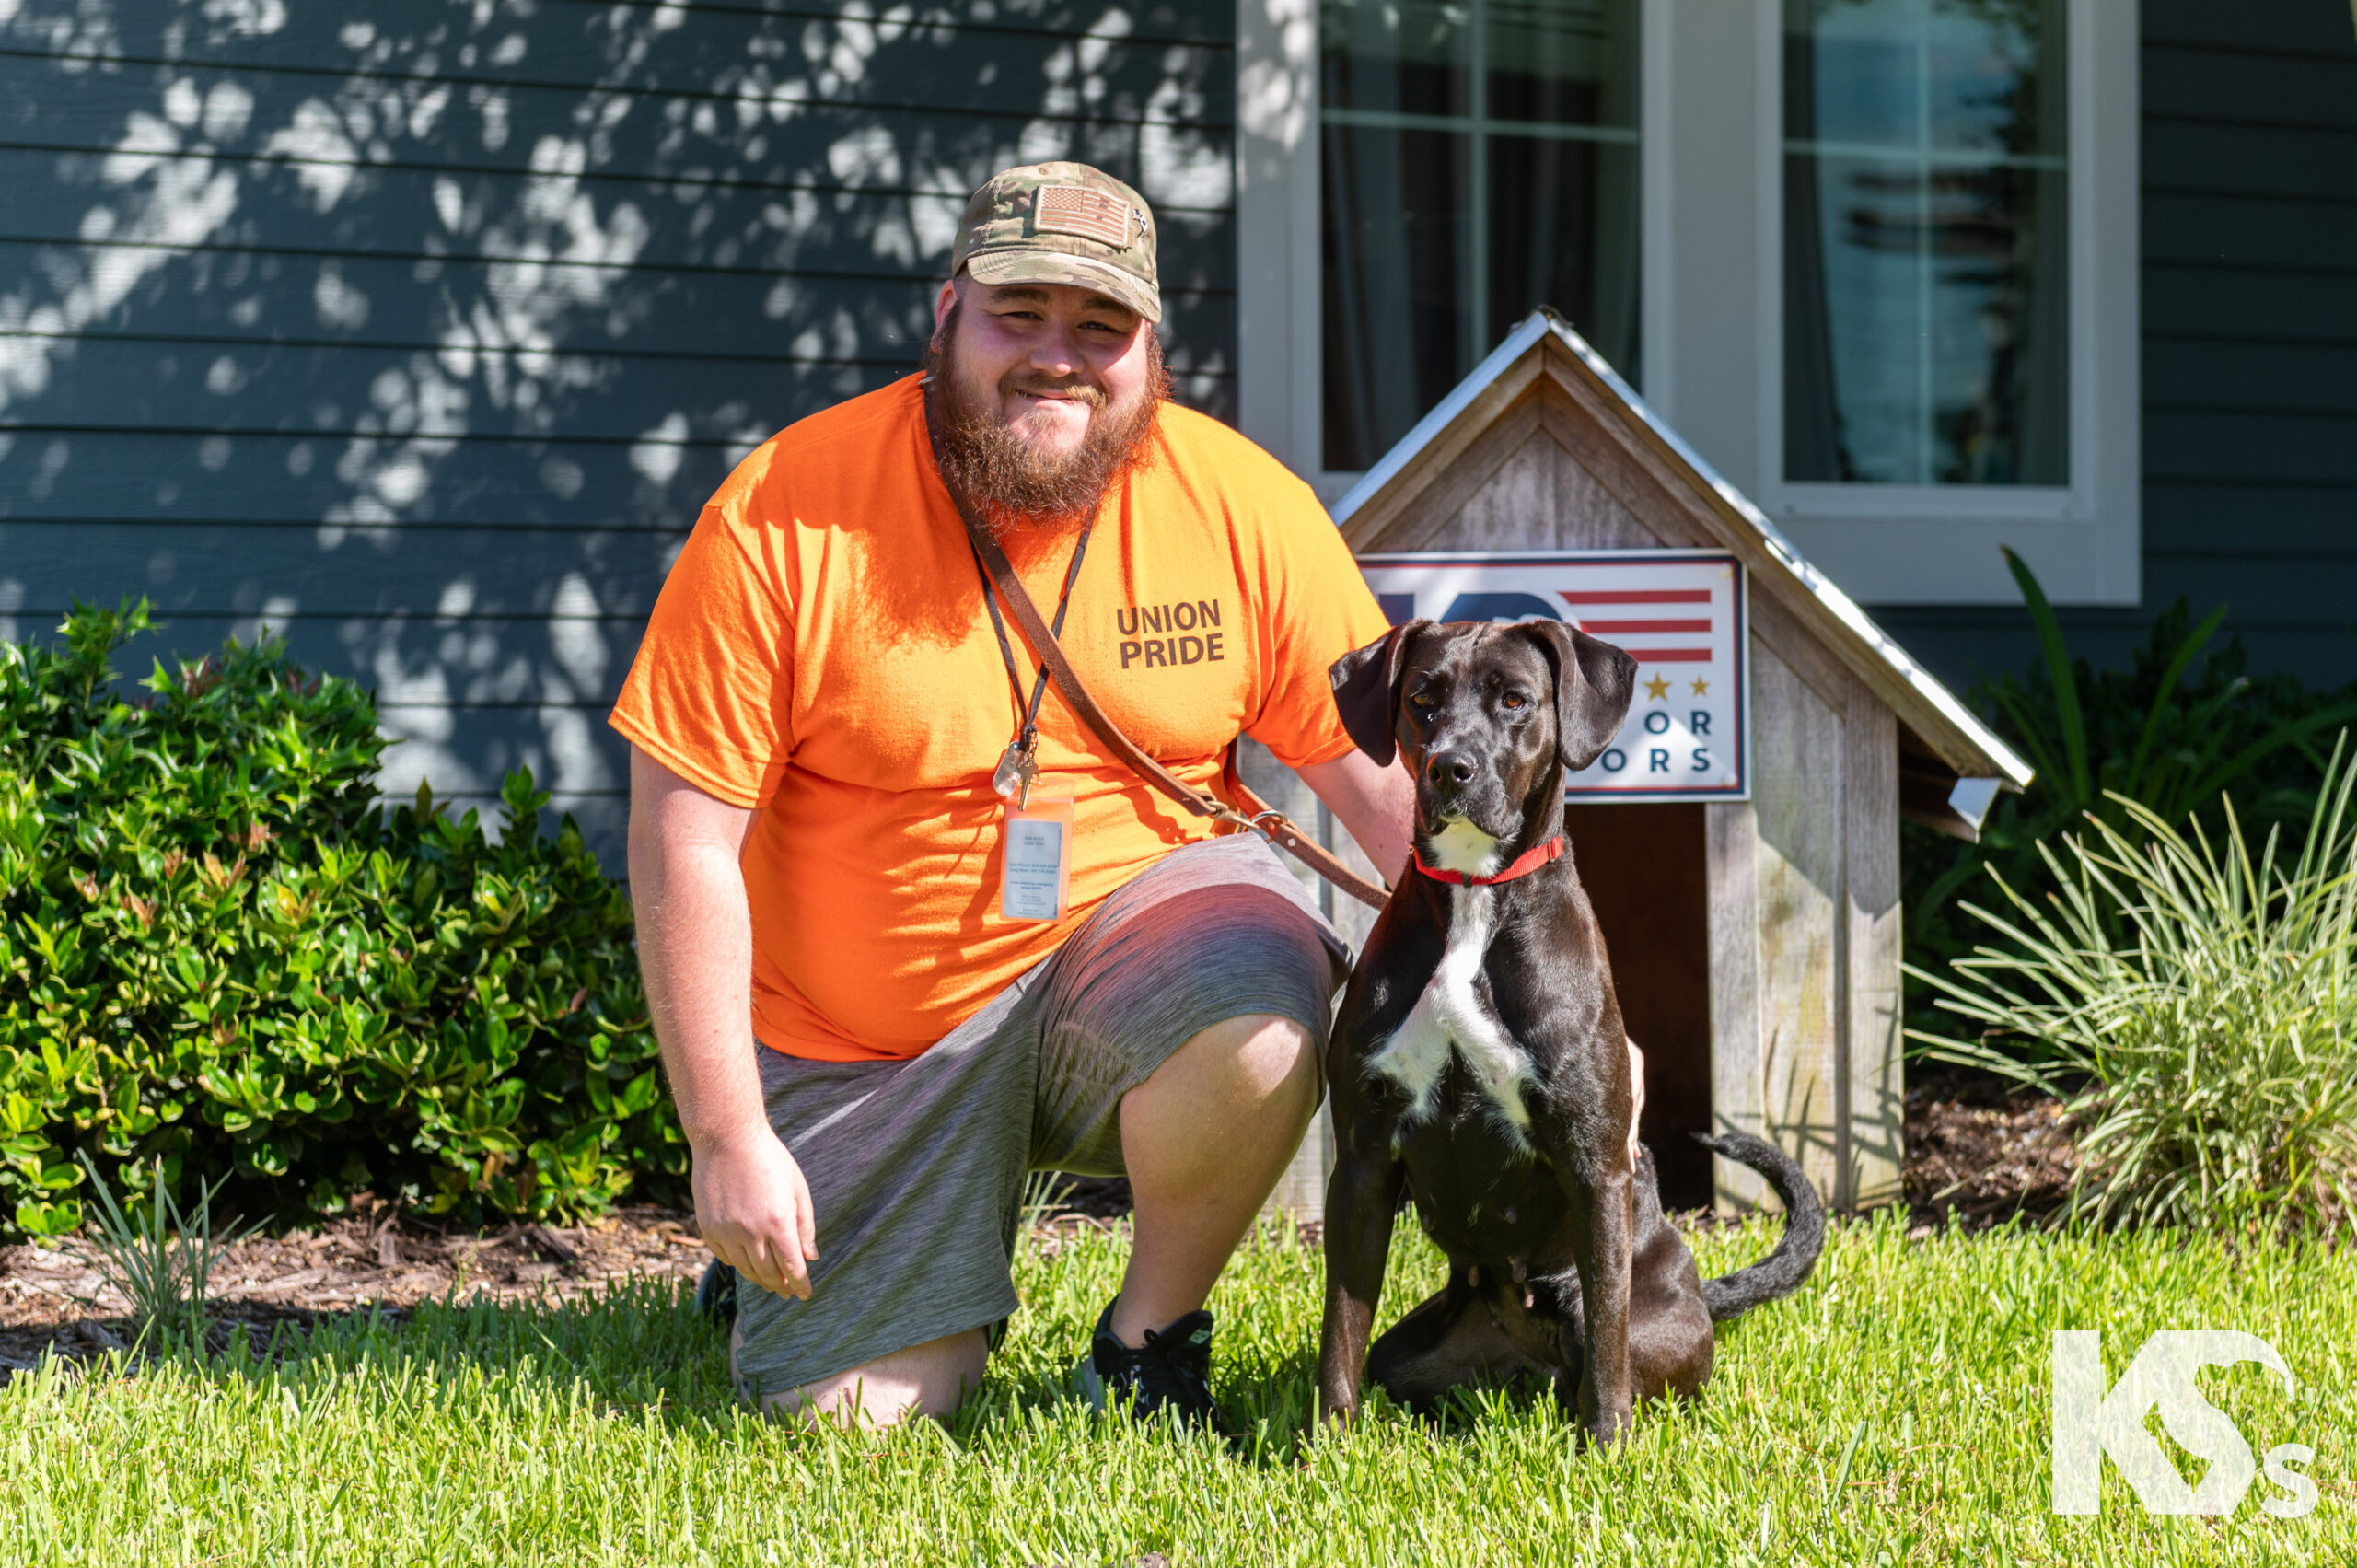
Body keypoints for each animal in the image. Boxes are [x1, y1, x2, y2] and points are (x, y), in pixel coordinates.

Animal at [1319, 612, 1829, 1443]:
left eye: (1515, 699)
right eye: (1422, 698)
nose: (1449, 767)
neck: (1474, 896)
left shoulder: (1594, 1163)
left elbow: (1609, 1333)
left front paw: (1608, 1446)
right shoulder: (1363, 1159)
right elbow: (1342, 1324)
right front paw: (1326, 1446)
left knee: (1600, 1339)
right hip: (1413, 1349)